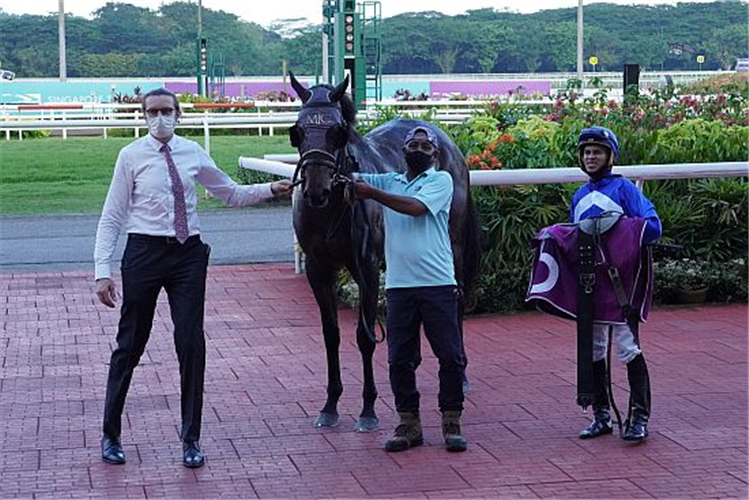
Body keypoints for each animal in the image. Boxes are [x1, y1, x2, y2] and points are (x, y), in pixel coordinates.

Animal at [286, 72, 480, 432]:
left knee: (456, 299)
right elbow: (331, 334)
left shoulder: (366, 264)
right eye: (299, 131)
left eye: (337, 132)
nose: (316, 191)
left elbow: (364, 335)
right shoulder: (319, 268)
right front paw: (330, 405)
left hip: (454, 244)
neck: (332, 210)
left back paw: (459, 374)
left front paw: (368, 409)